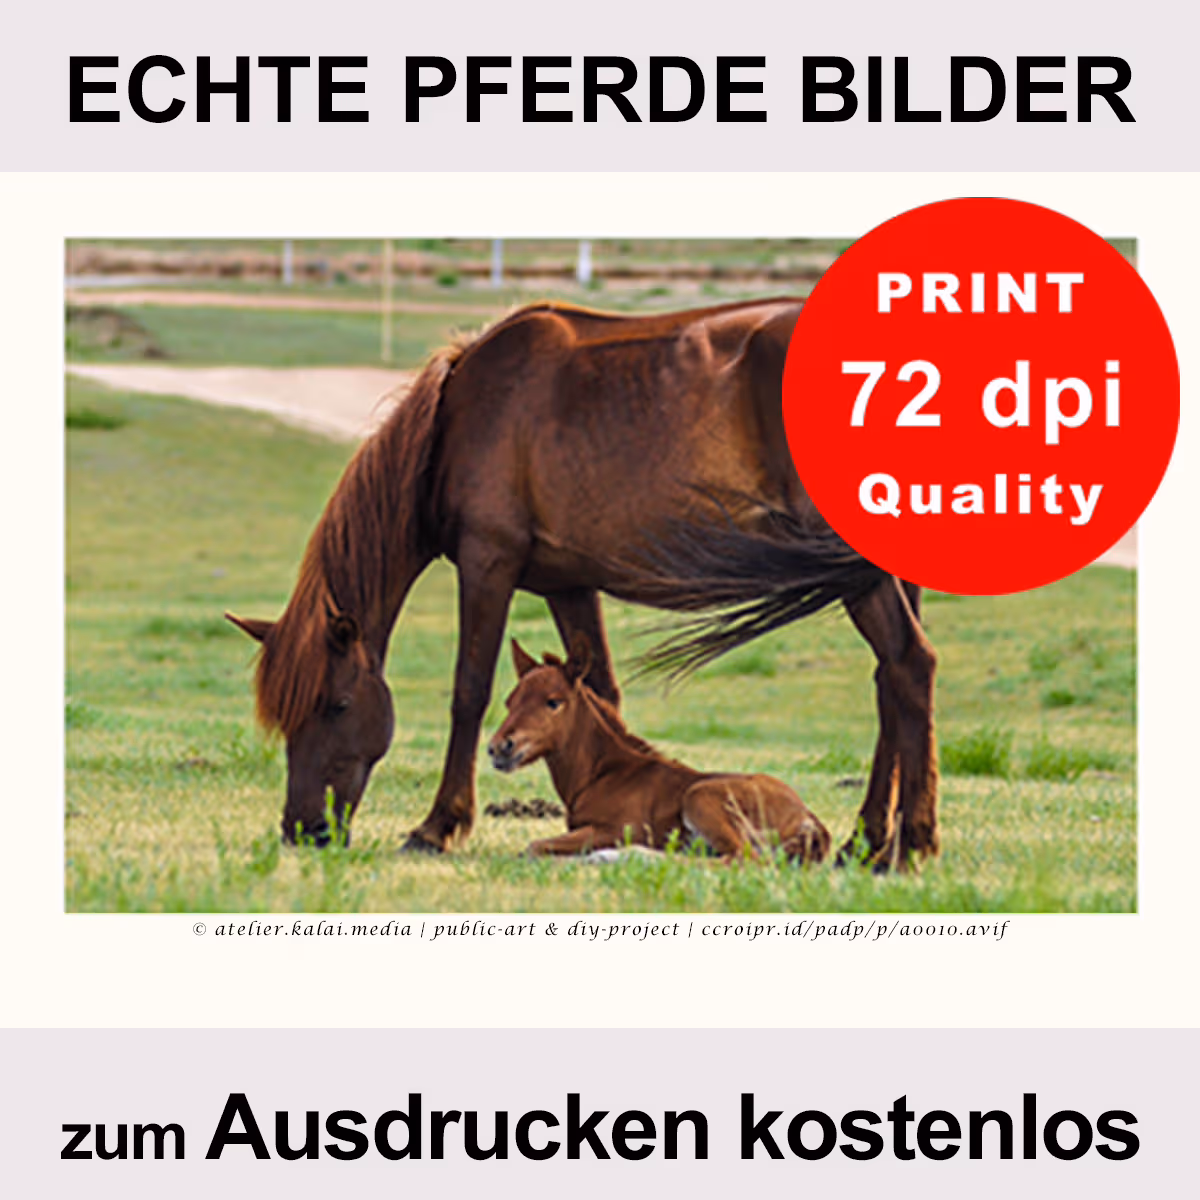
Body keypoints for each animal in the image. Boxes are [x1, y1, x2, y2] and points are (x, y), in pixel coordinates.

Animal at [488, 638, 832, 862]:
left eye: (553, 701)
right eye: (509, 701)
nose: (499, 748)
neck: (603, 774)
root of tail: (808, 818)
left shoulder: (618, 829)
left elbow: (534, 846)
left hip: (700, 796)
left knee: (738, 859)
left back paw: (625, 855)